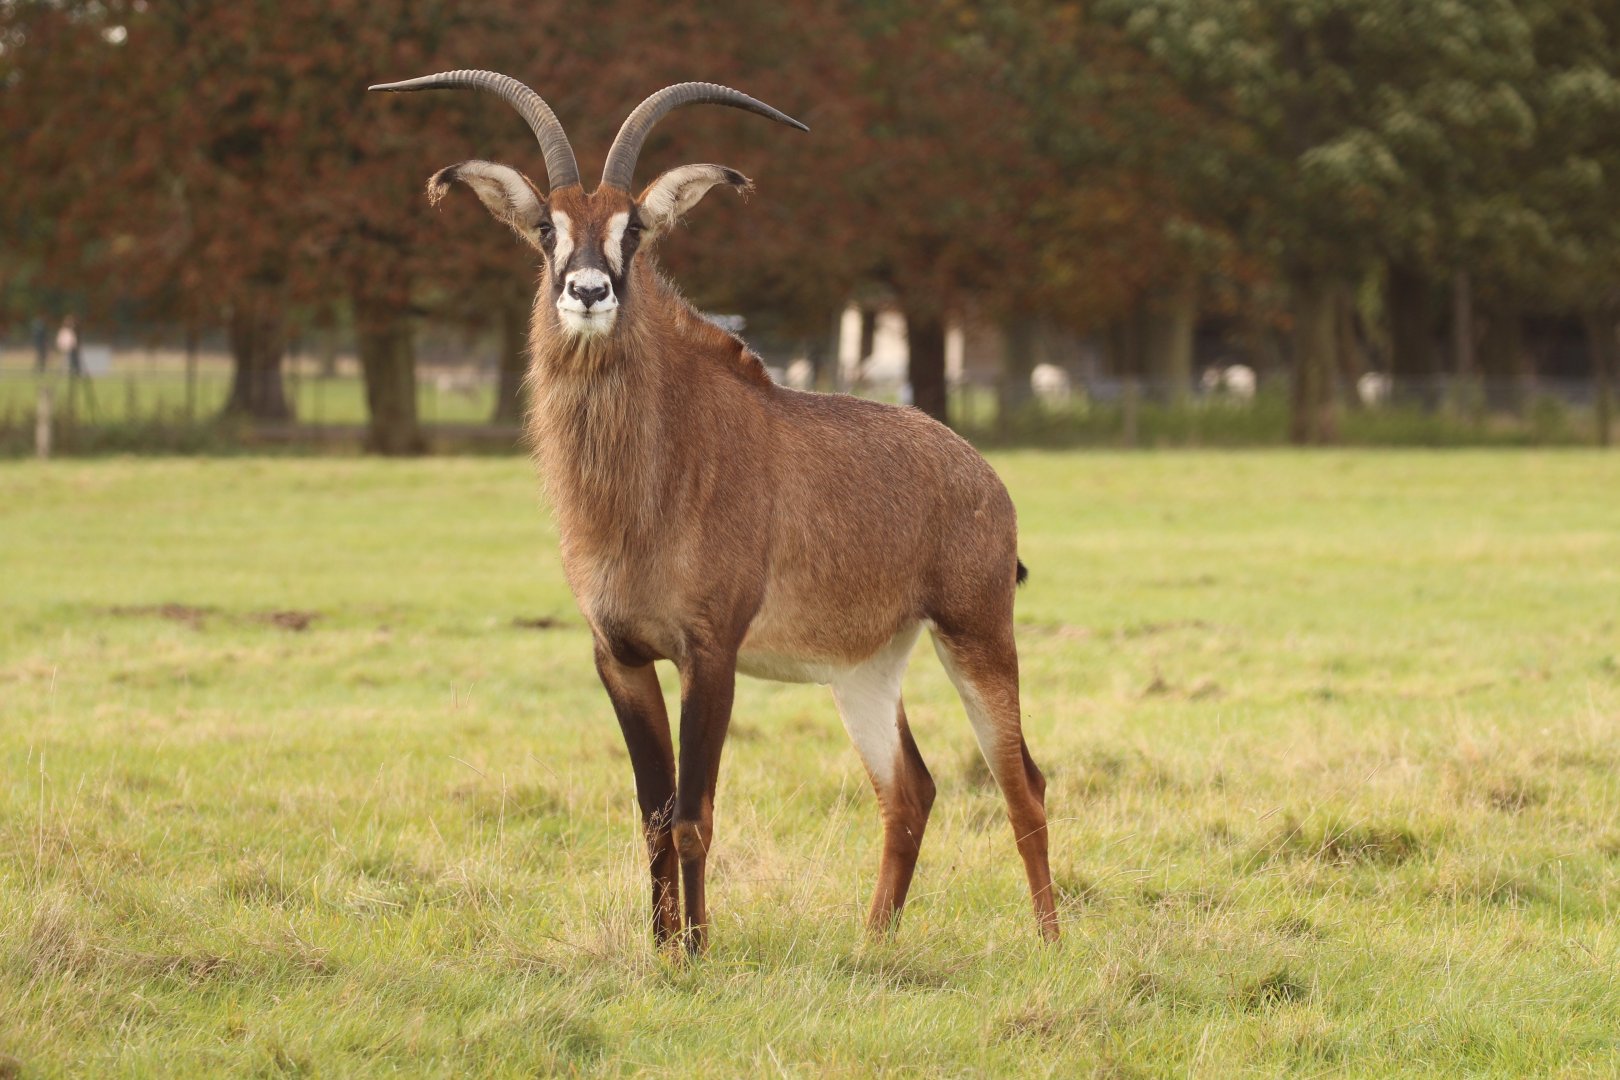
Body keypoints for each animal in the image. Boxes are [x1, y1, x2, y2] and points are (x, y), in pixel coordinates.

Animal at [370, 70, 1057, 951]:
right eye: (546, 229)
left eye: (632, 231)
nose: (587, 291)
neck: (651, 484)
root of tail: (983, 477)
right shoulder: (621, 658)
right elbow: (653, 815)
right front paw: (663, 947)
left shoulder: (711, 653)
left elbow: (693, 815)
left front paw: (695, 950)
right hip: (865, 671)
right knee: (911, 790)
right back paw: (873, 942)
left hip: (976, 636)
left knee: (1021, 782)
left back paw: (1049, 939)